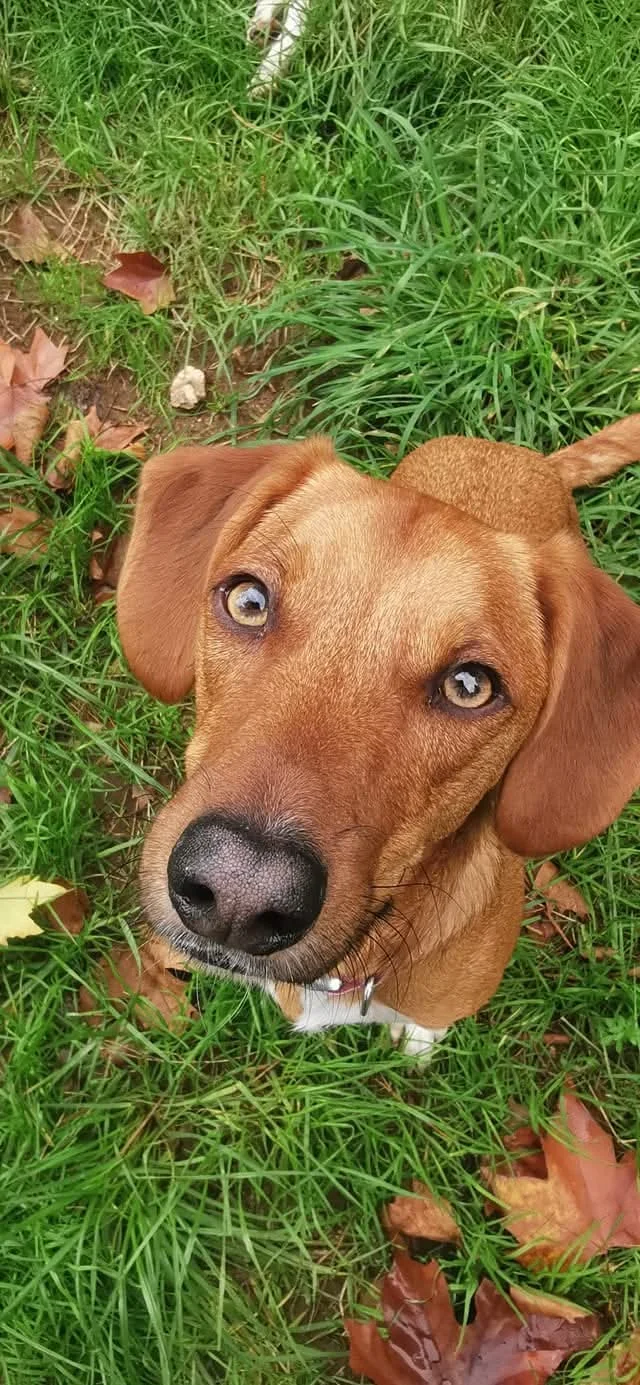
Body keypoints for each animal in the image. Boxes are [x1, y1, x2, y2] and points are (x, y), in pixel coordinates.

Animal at [117, 418, 640, 1057]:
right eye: (248, 600)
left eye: (470, 686)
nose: (240, 891)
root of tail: (526, 458)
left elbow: (423, 1028)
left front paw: (416, 1046)